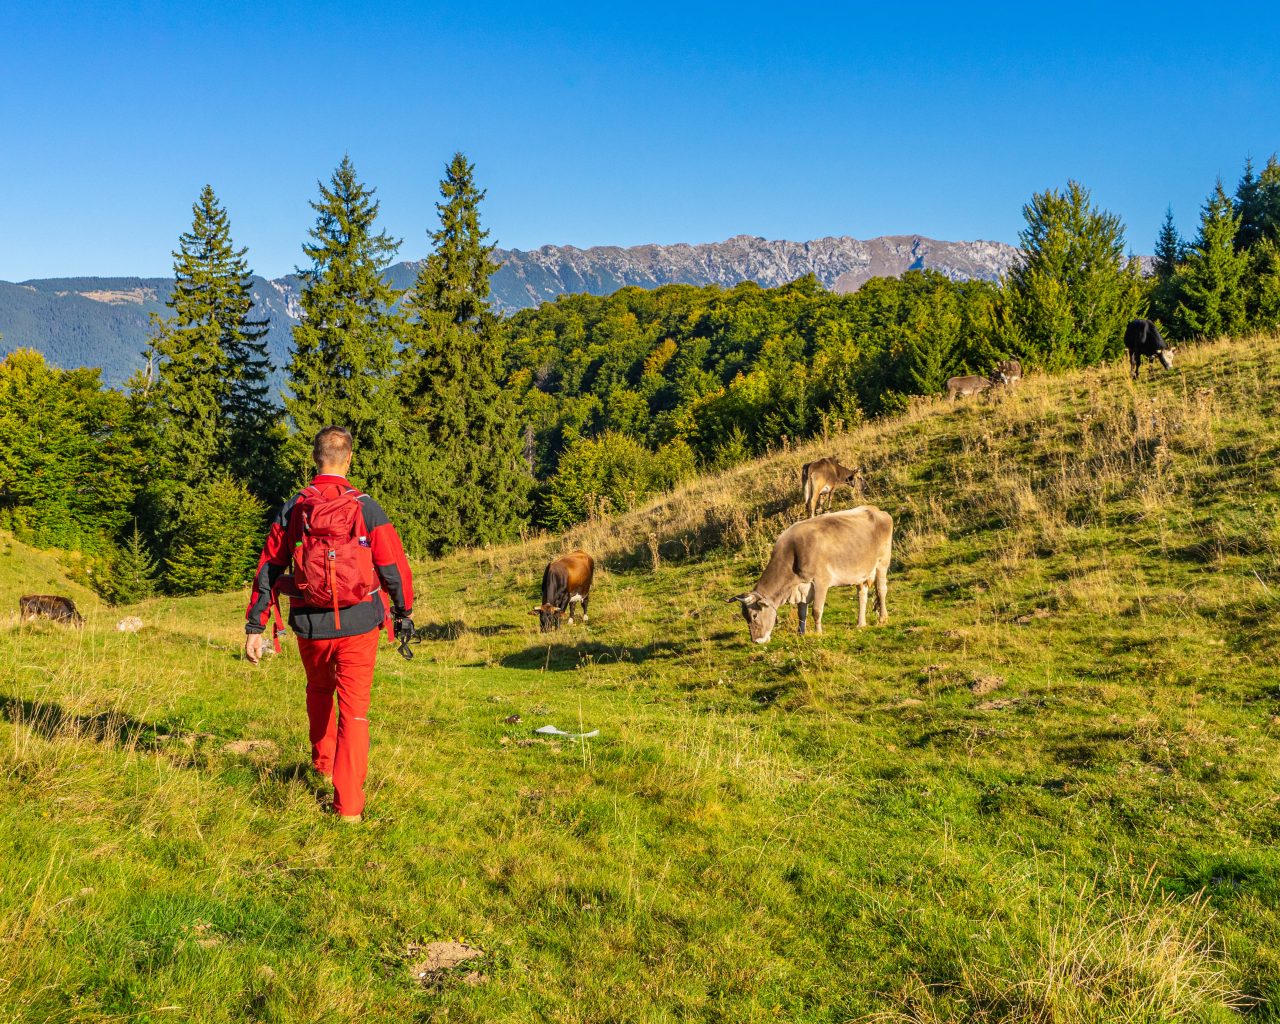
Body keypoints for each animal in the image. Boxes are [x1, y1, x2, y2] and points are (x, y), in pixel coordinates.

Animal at [727, 506, 896, 645]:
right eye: (744, 616)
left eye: (755, 615)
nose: (756, 640)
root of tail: (878, 511)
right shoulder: (801, 586)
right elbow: (802, 612)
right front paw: (801, 633)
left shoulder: (821, 581)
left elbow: (816, 609)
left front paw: (818, 632)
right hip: (861, 571)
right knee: (862, 594)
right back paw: (861, 623)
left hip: (882, 562)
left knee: (881, 590)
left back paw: (883, 618)